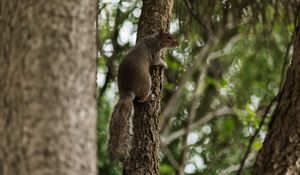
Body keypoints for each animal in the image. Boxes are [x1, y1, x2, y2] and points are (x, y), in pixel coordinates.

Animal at [107, 29, 178, 162]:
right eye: (169, 37)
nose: (178, 43)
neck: (155, 39)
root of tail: (127, 92)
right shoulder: (154, 52)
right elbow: (157, 61)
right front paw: (164, 64)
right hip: (146, 81)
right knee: (140, 99)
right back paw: (149, 97)